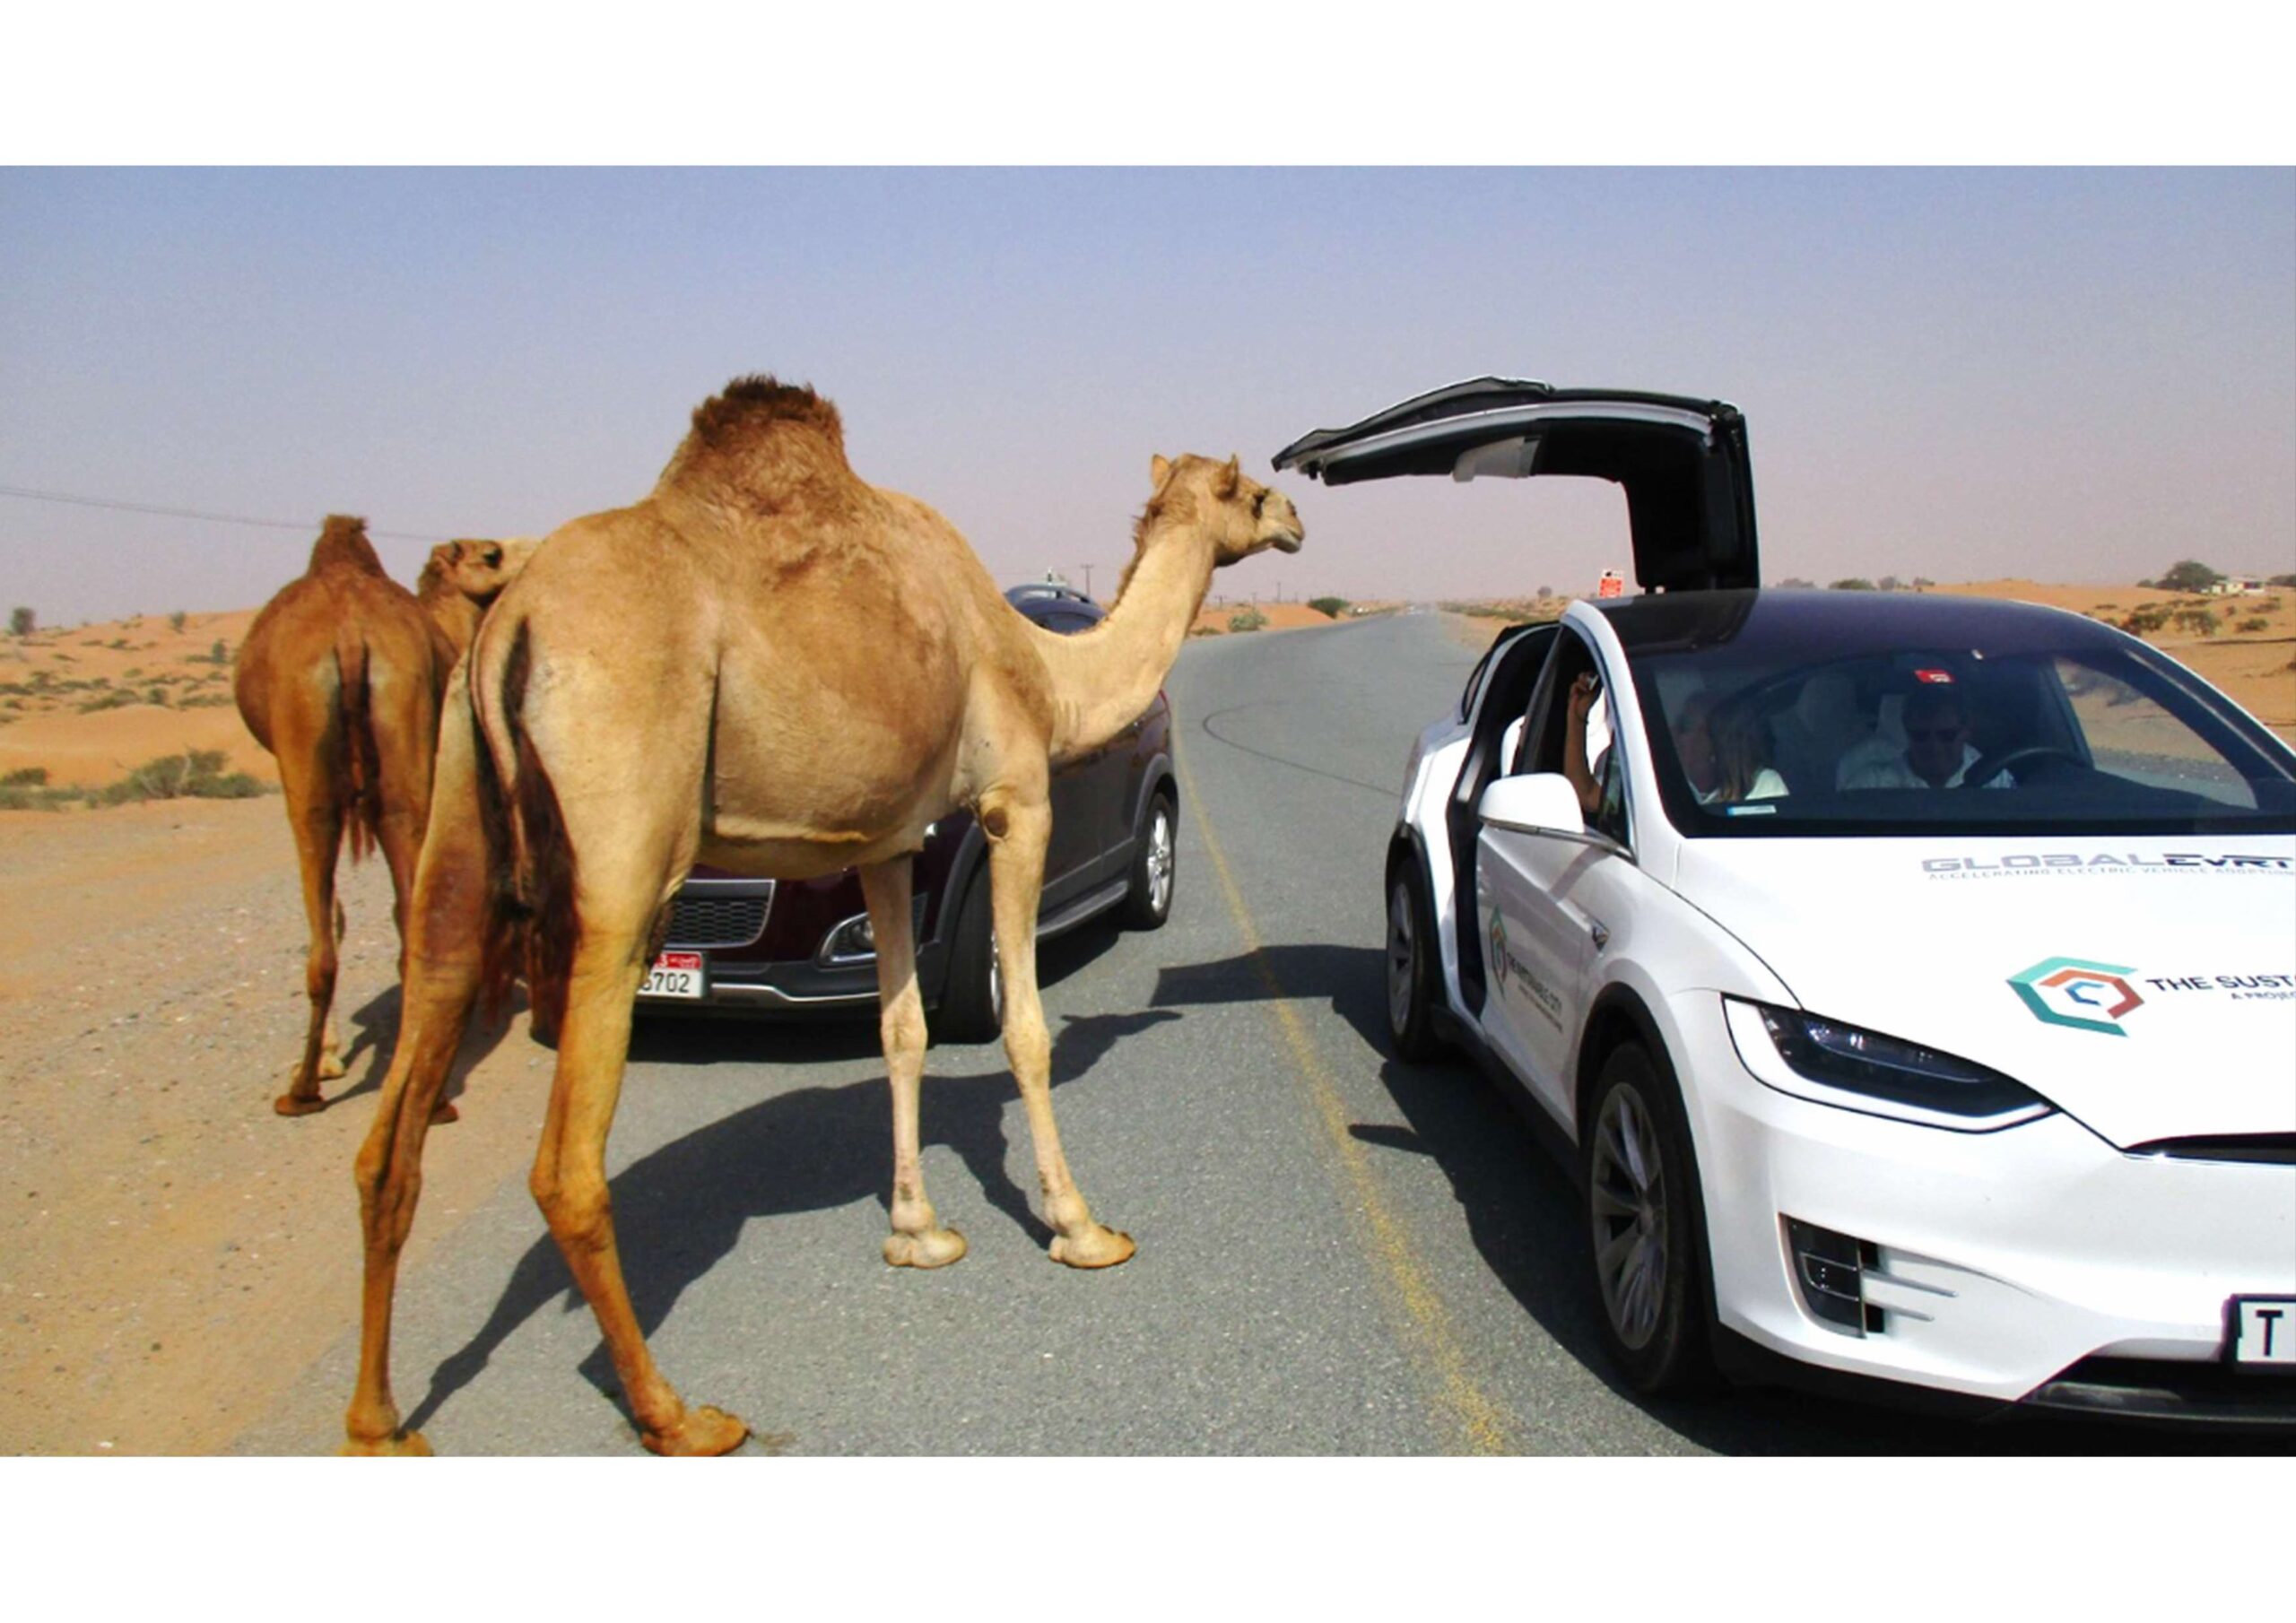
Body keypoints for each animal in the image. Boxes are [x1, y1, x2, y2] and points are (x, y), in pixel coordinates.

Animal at [340, 377, 1304, 1455]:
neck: (1046, 672)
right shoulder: (1016, 799)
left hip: (457, 803)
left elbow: (902, 1028)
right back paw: (680, 1417)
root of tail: (513, 619)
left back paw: (379, 1421)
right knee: (566, 1168)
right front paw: (1082, 1227)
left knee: (398, 1102)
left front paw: (919, 1233)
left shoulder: (886, 844)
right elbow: (1023, 1028)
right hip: (625, 838)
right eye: (1247, 489)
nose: (1297, 515)